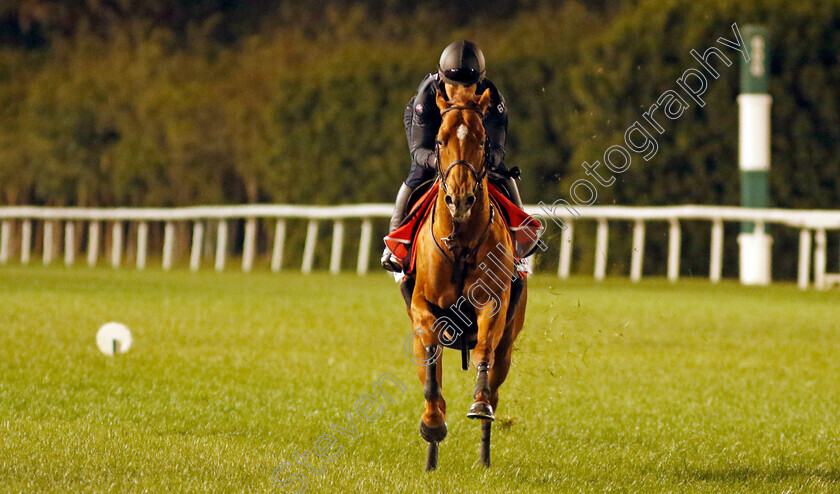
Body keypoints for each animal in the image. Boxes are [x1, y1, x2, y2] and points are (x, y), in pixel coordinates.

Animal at [406, 89, 524, 470]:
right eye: (440, 140)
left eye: (482, 139)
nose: (459, 199)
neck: (459, 244)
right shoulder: (423, 306)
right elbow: (431, 367)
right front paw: (432, 424)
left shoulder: (494, 304)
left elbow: (484, 351)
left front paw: (480, 404)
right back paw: (432, 452)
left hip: (509, 344)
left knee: (495, 380)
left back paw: (485, 455)